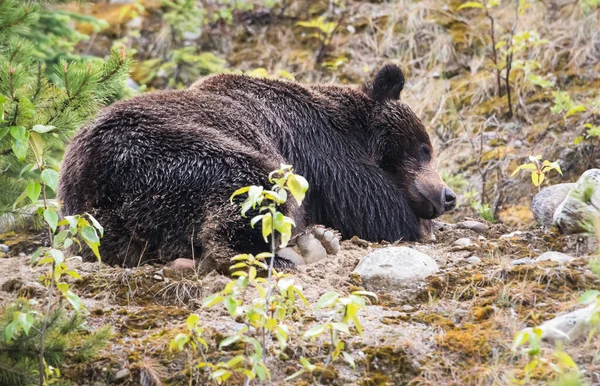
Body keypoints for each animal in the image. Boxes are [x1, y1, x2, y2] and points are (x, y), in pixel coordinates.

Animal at [58, 64, 458, 272]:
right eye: (424, 149)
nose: (448, 195)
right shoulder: (321, 152)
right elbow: (372, 207)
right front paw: (420, 225)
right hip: (170, 155)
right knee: (254, 186)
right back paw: (295, 252)